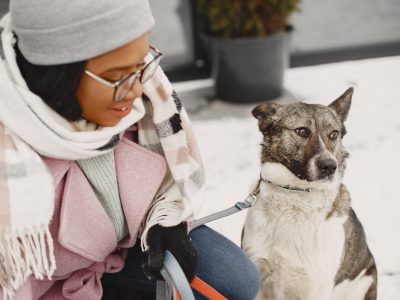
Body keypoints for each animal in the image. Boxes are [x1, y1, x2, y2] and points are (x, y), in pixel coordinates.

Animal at [242, 89, 376, 300]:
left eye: (334, 134)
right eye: (302, 131)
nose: (329, 166)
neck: (295, 197)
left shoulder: (314, 286)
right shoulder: (258, 276)